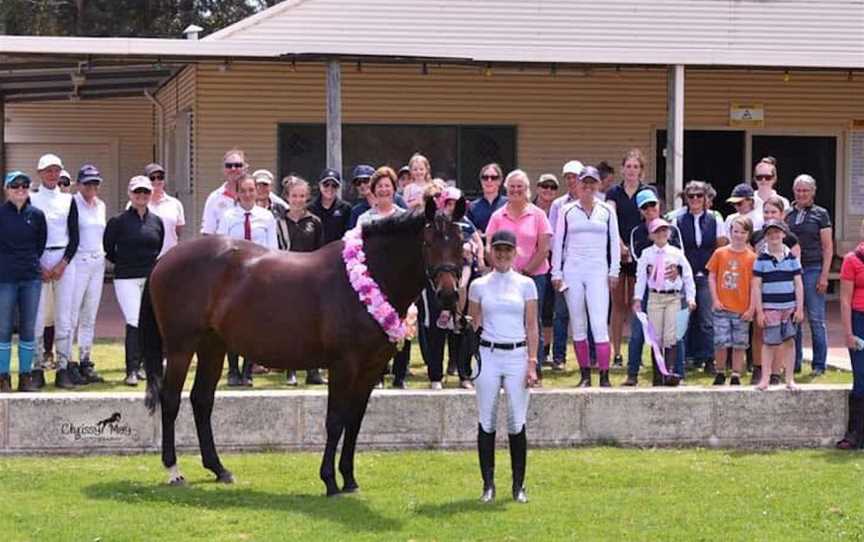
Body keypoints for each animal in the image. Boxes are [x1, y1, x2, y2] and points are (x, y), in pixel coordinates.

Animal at [140, 199, 466, 498]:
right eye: (427, 242)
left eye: (460, 242)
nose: (448, 295)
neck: (363, 279)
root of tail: (165, 258)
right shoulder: (343, 365)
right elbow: (335, 421)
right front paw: (330, 481)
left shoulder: (370, 369)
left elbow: (354, 422)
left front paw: (349, 480)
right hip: (181, 346)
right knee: (171, 400)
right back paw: (173, 470)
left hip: (212, 345)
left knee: (201, 400)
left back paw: (219, 469)